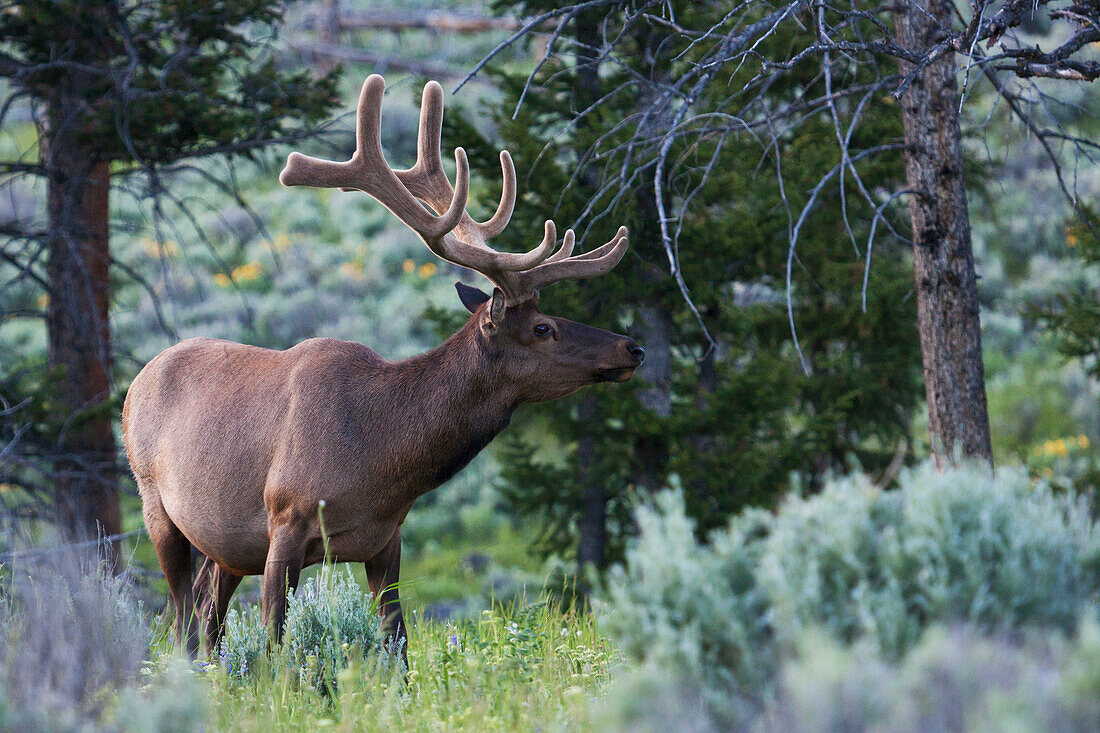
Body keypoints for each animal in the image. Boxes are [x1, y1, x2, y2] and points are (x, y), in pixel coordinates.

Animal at [123, 75, 642, 660]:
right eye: (542, 328)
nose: (632, 348)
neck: (382, 461)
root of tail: (137, 382)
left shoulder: (386, 541)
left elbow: (399, 645)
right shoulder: (285, 520)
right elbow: (278, 643)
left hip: (225, 545)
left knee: (207, 619)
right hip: (156, 506)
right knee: (184, 621)